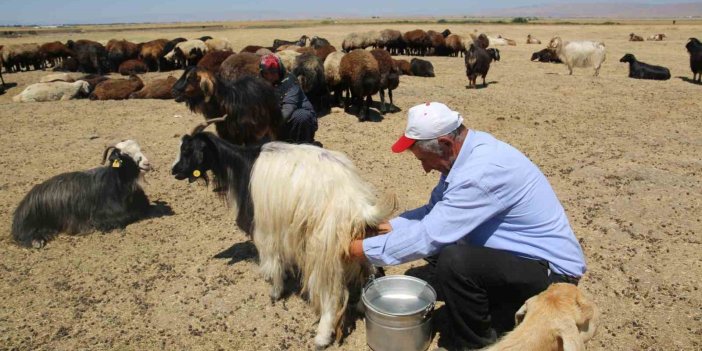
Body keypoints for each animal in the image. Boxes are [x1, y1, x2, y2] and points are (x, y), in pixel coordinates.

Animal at [11, 139, 152, 249]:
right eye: (125, 155)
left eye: (139, 149)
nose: (147, 164)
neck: (115, 184)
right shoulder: (101, 219)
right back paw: (37, 241)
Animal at [172, 119, 396, 350]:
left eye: (187, 150)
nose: (175, 171)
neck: (242, 166)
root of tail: (357, 204)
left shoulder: (265, 229)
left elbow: (273, 261)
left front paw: (275, 291)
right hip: (361, 238)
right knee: (373, 268)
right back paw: (361, 305)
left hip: (323, 248)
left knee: (331, 294)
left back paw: (322, 336)